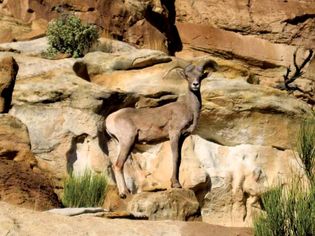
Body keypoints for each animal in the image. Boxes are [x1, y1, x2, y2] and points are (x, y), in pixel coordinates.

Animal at [105, 59, 217, 197]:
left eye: (200, 76)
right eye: (187, 76)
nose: (195, 84)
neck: (188, 108)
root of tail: (110, 119)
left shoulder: (182, 137)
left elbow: (180, 159)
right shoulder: (174, 134)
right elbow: (176, 157)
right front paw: (176, 184)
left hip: (121, 143)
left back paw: (123, 193)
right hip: (128, 141)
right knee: (118, 165)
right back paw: (125, 193)